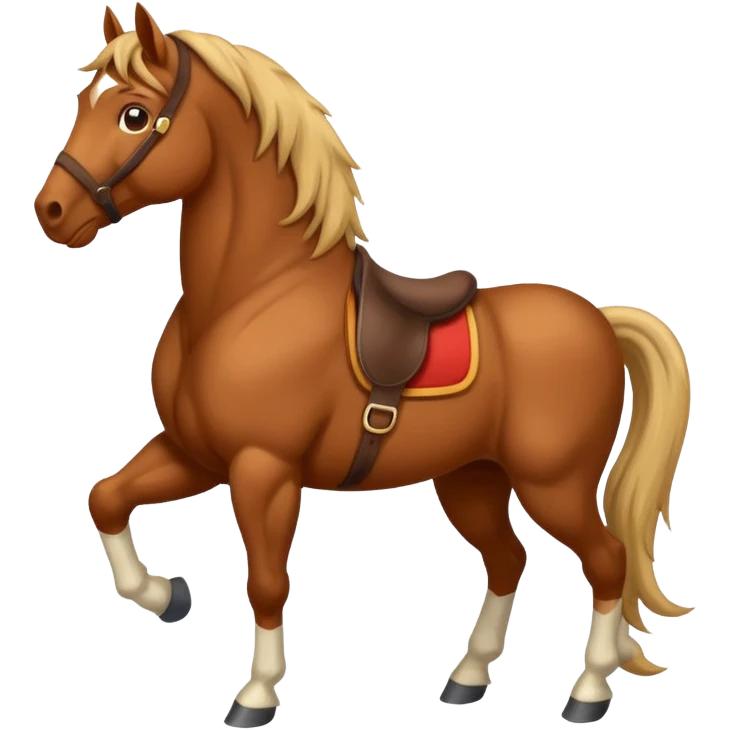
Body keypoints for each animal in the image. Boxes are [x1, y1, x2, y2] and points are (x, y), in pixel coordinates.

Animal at [33, 4, 694, 727]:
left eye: (132, 113)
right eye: (81, 100)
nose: (52, 211)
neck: (254, 296)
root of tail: (600, 320)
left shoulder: (263, 469)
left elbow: (268, 582)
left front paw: (256, 695)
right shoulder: (194, 452)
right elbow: (106, 498)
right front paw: (167, 595)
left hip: (554, 483)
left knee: (606, 561)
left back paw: (589, 691)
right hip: (472, 479)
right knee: (508, 560)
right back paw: (466, 680)